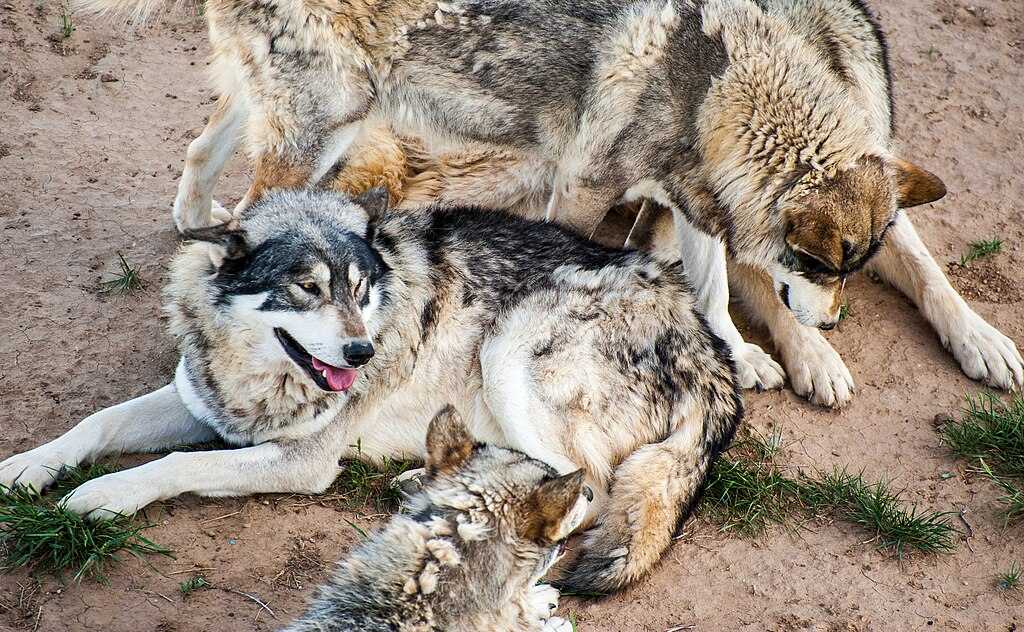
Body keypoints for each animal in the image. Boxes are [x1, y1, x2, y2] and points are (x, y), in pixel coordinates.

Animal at [0, 189, 741, 593]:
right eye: (307, 290)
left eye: (359, 290)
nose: (363, 352)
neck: (254, 372)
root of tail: (710, 344)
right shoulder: (195, 400)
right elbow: (95, 424)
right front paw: (24, 469)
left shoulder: (300, 462)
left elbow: (175, 465)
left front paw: (100, 497)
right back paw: (427, 478)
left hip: (508, 350)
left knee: (582, 493)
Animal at [76, 0, 1022, 407]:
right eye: (822, 265)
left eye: (852, 267)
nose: (831, 323)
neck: (717, 86)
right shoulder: (586, 190)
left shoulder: (690, 203)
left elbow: (718, 288)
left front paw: (747, 355)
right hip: (326, 141)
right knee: (258, 226)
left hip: (297, 121)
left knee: (203, 162)